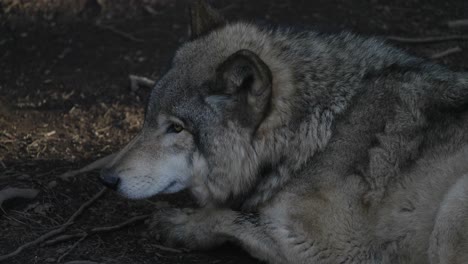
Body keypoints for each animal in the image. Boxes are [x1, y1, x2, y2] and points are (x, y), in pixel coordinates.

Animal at [98, 1, 468, 262]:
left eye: (176, 128)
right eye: (148, 118)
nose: (107, 178)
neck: (317, 133)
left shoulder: (332, 248)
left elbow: (232, 217)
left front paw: (182, 224)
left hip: (451, 211)